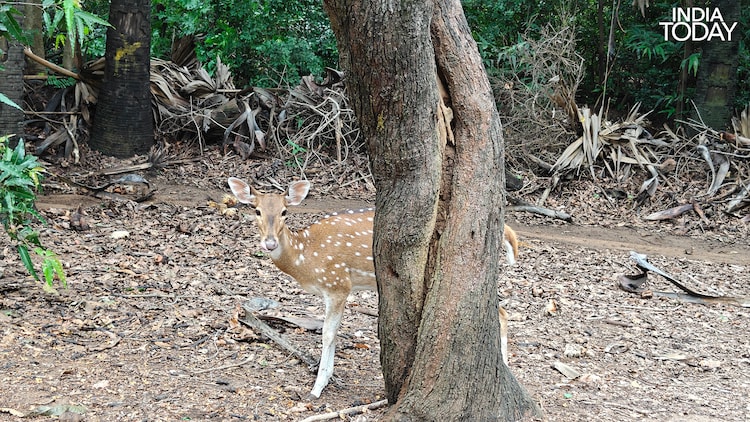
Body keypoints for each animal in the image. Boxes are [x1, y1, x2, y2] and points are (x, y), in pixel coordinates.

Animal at [227, 177, 519, 398]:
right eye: (256, 210)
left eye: (285, 212)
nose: (269, 243)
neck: (305, 258)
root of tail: (504, 229)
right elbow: (333, 332)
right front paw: (327, 378)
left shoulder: (337, 283)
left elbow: (327, 334)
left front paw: (317, 388)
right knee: (501, 310)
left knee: (501, 311)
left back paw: (504, 365)